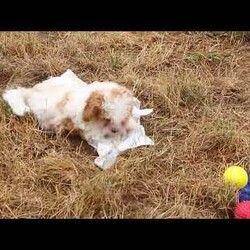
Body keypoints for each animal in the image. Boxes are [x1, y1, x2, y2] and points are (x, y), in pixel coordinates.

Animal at [2, 73, 137, 142]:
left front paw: (130, 125)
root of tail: (30, 92)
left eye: (123, 119)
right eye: (106, 119)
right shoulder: (89, 130)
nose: (115, 130)